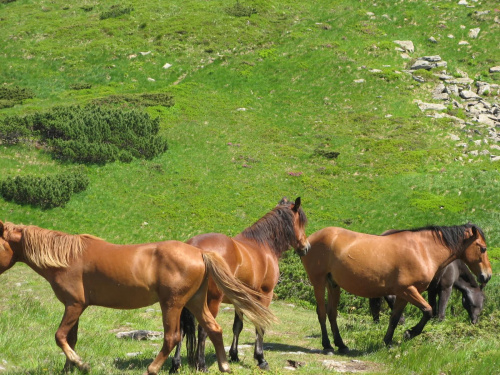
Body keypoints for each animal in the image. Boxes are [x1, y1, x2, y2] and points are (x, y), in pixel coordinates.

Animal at [0, 222, 274, 374]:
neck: (67, 257)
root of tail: (199, 252)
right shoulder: (74, 308)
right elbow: (71, 339)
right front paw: (71, 368)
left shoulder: (74, 305)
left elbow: (60, 337)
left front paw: (81, 365)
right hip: (196, 302)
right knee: (214, 329)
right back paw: (224, 366)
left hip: (172, 304)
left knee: (172, 337)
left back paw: (152, 368)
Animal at [172, 198, 310, 372]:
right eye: (301, 222)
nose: (306, 247)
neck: (263, 245)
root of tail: (196, 248)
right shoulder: (265, 296)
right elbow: (260, 325)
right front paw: (261, 359)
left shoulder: (240, 299)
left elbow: (237, 326)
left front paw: (234, 355)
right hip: (211, 301)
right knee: (204, 329)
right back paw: (201, 365)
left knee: (182, 328)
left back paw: (176, 364)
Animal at [300, 226, 492, 352]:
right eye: (483, 248)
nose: (487, 275)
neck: (423, 250)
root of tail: (310, 240)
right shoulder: (409, 290)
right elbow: (429, 311)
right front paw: (410, 333)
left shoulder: (403, 294)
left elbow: (395, 318)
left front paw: (388, 342)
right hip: (318, 282)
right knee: (322, 312)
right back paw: (327, 345)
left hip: (333, 285)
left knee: (332, 313)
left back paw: (341, 344)